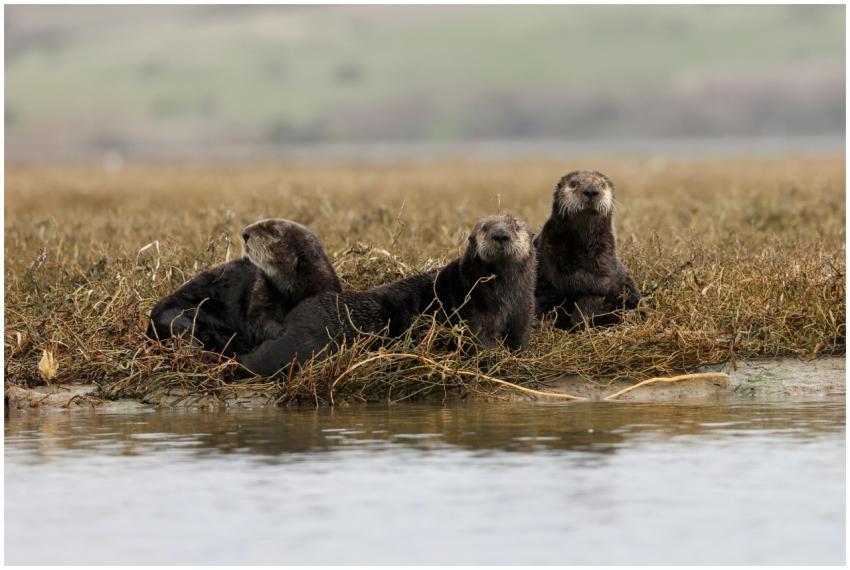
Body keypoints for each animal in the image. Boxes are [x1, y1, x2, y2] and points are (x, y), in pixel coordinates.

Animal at [146, 218, 342, 356]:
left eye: (274, 231)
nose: (245, 233)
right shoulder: (262, 289)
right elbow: (258, 322)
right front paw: (281, 331)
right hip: (179, 313)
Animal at [237, 214, 536, 377]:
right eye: (484, 228)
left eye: (516, 226)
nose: (501, 234)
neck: (503, 297)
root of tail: (291, 324)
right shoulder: (474, 315)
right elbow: (480, 343)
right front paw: (499, 358)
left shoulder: (522, 312)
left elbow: (520, 339)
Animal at [534, 170, 640, 329]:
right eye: (573, 184)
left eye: (602, 184)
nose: (591, 190)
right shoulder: (551, 247)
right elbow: (570, 280)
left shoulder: (605, 252)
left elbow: (598, 286)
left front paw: (580, 318)